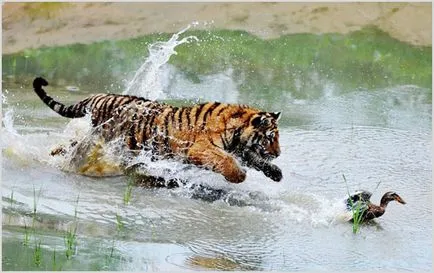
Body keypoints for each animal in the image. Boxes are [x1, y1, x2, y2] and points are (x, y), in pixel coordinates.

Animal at [32, 76, 284, 183]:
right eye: (270, 138)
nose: (279, 153)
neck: (236, 133)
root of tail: (100, 96)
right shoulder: (201, 148)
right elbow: (225, 160)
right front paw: (239, 176)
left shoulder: (241, 149)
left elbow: (256, 159)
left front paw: (276, 173)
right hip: (104, 140)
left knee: (71, 145)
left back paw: (54, 155)